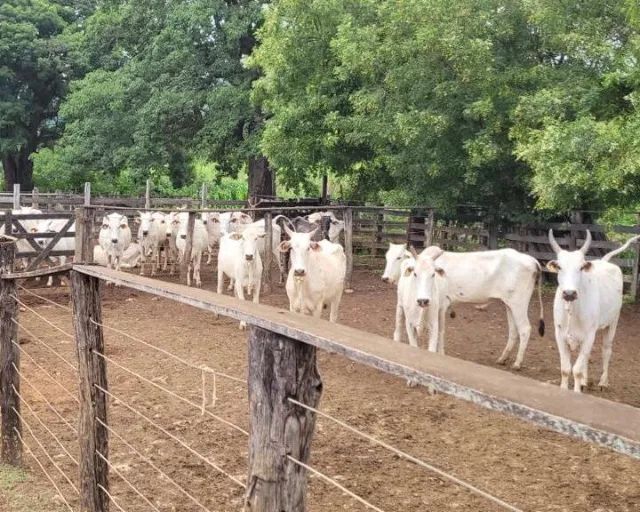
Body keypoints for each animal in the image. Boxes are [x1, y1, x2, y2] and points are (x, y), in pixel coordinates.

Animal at [544, 229, 640, 392]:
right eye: (560, 267)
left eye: (581, 267)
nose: (569, 293)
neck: (573, 311)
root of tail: (605, 261)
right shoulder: (560, 335)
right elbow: (565, 369)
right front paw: (565, 389)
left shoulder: (589, 335)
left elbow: (576, 370)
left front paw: (577, 391)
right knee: (587, 357)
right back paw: (585, 381)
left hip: (613, 322)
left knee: (606, 350)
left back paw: (603, 382)